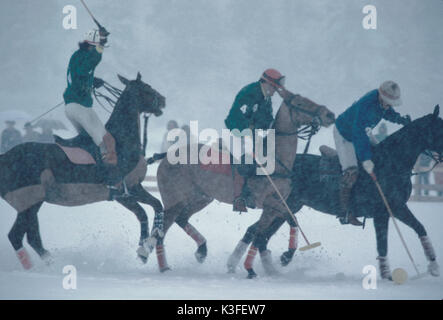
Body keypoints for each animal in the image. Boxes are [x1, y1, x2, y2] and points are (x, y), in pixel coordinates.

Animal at [154, 92, 334, 272]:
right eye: (300, 103)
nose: (329, 115)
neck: (275, 161)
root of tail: (166, 156)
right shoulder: (267, 202)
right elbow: (271, 228)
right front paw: (261, 265)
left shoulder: (276, 205)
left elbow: (272, 227)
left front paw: (262, 264)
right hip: (174, 199)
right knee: (160, 231)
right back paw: (162, 266)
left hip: (200, 198)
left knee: (181, 219)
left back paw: (201, 251)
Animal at [227, 106, 442, 278]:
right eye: (438, 128)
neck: (391, 163)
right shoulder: (383, 211)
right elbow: (383, 244)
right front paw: (388, 275)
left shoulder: (397, 207)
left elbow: (420, 228)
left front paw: (432, 266)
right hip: (283, 207)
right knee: (258, 233)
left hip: (287, 207)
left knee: (259, 233)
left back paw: (261, 266)